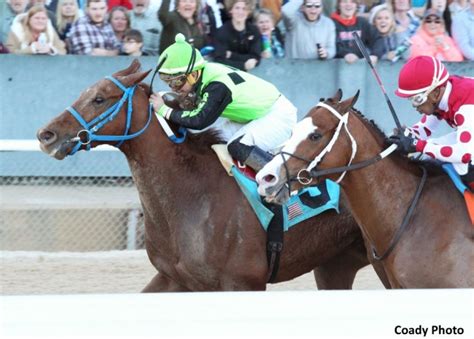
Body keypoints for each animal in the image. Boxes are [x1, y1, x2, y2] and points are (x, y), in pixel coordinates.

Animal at [36, 60, 386, 292]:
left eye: (99, 98)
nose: (46, 135)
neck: (191, 194)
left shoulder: (243, 283)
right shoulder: (174, 278)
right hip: (336, 264)